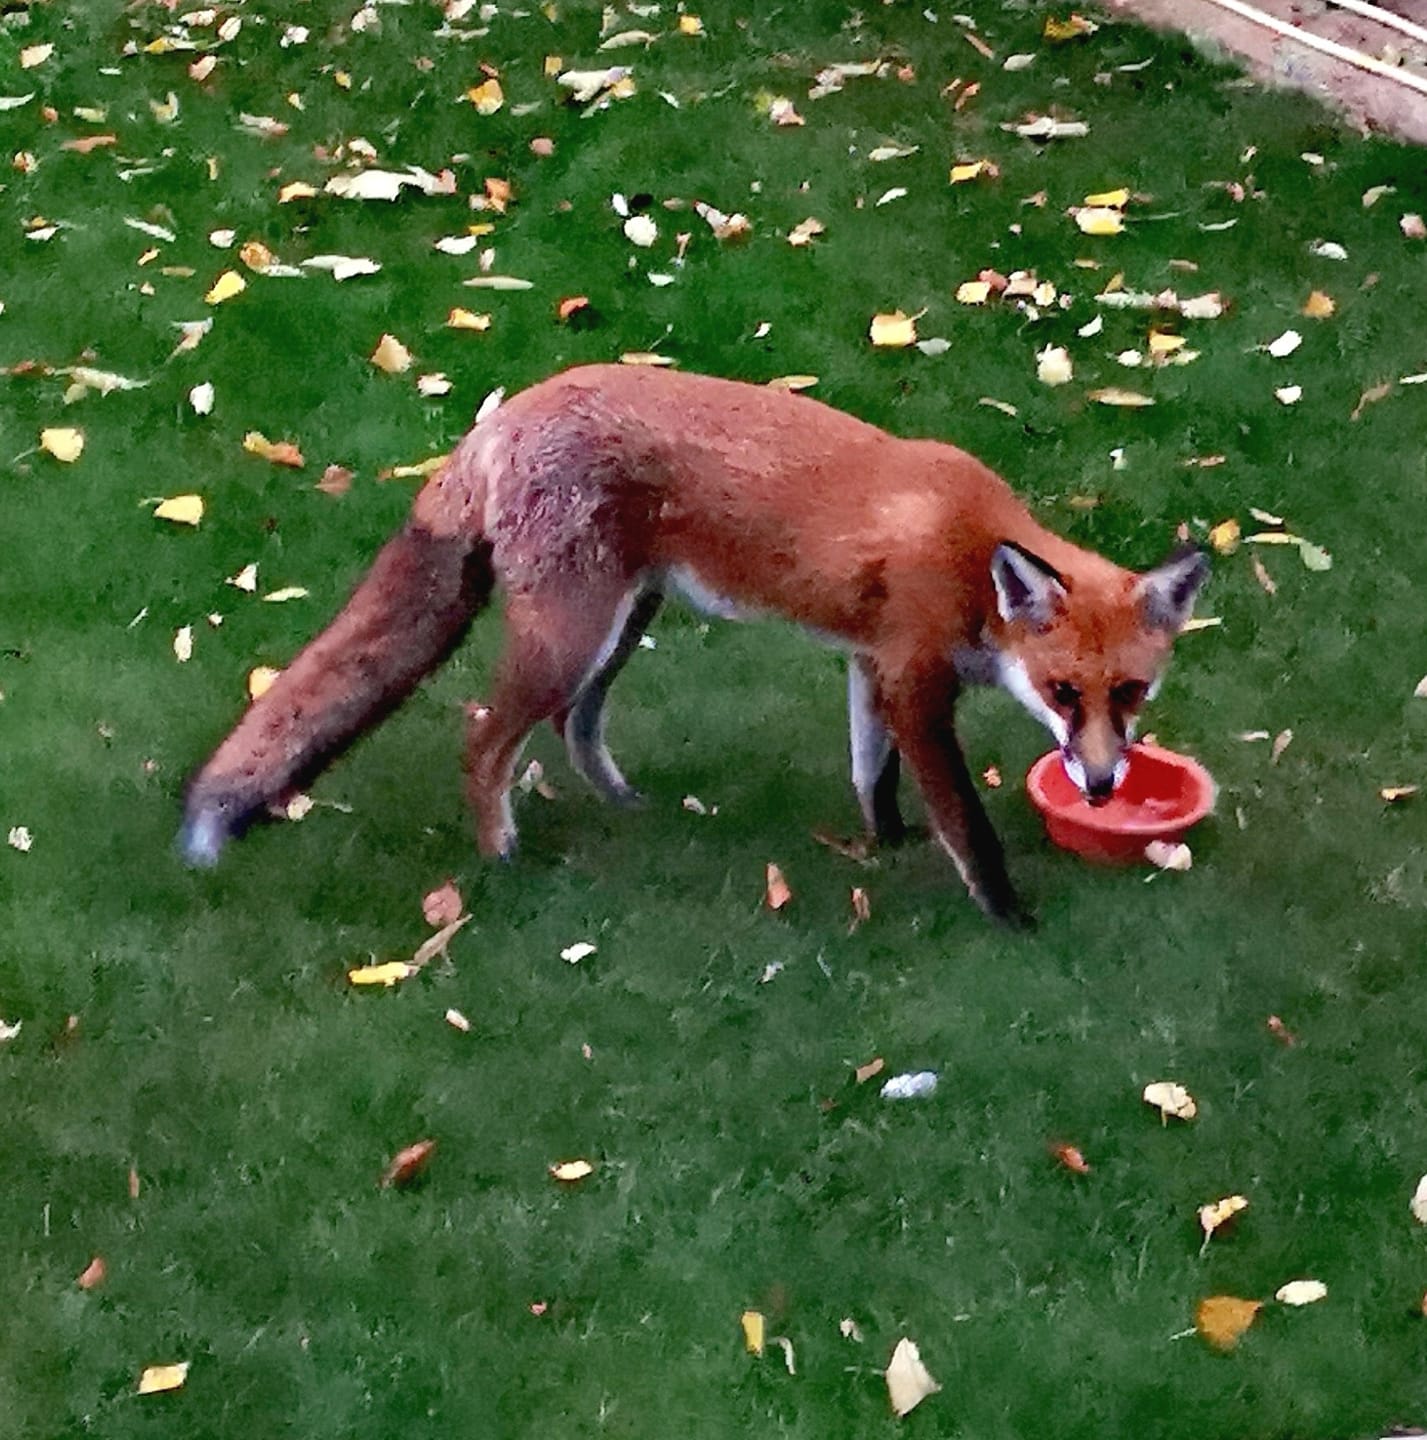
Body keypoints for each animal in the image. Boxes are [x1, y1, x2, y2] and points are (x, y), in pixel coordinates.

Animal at [179, 364, 1208, 924]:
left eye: (1130, 695)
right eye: (1064, 694)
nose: (1104, 786)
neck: (967, 548)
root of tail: (500, 416)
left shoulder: (868, 664)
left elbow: (868, 772)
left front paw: (882, 842)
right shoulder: (914, 680)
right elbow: (965, 820)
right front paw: (1006, 913)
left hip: (622, 623)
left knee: (573, 727)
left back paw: (624, 804)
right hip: (572, 633)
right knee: (483, 736)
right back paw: (499, 853)